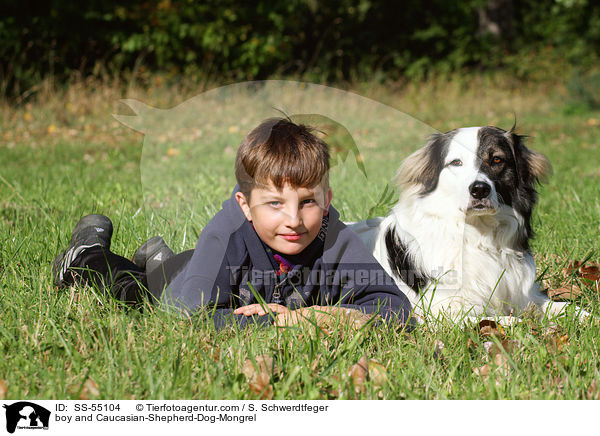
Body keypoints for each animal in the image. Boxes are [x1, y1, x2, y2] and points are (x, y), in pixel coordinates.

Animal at [350, 126, 588, 324]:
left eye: (497, 160)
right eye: (456, 162)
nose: (479, 189)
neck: (476, 235)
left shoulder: (521, 294)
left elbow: (560, 307)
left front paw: (584, 316)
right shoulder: (442, 311)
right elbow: (503, 321)